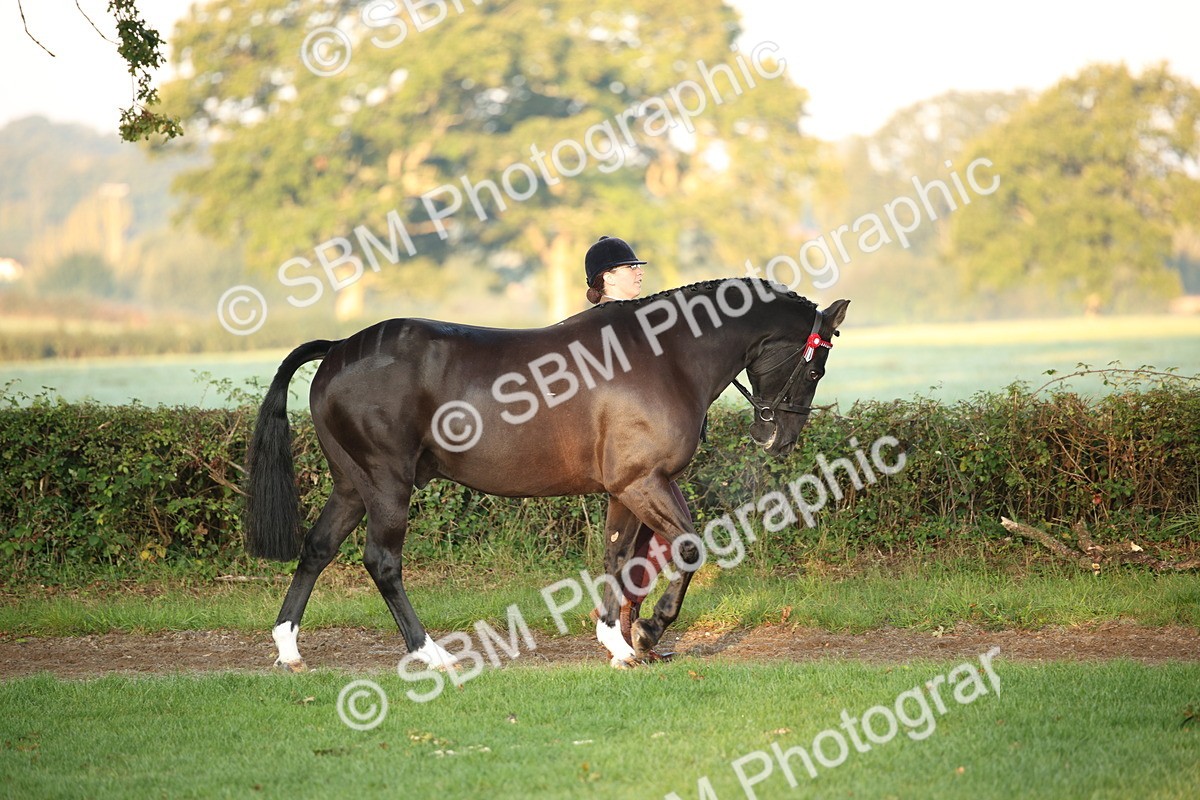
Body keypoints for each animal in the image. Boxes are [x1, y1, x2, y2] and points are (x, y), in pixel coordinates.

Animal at [245, 278, 849, 670]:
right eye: (816, 367)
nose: (778, 440)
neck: (667, 356)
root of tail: (339, 348)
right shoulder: (643, 482)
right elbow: (689, 547)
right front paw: (649, 630)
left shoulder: (626, 489)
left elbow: (619, 559)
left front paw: (620, 642)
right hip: (387, 484)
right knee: (382, 562)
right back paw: (429, 652)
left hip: (353, 485)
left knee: (318, 548)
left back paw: (289, 648)